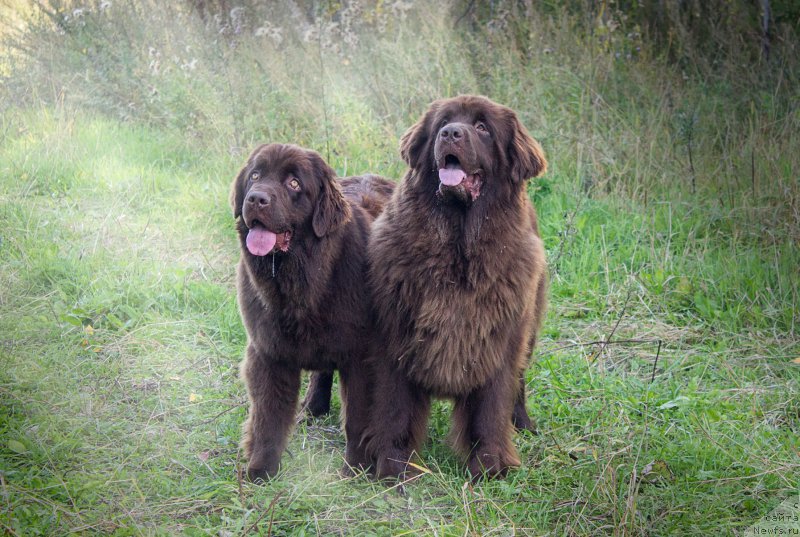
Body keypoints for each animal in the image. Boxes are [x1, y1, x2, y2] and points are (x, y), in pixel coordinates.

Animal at [230, 142, 396, 478]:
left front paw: (356, 470)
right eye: (255, 175)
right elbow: (268, 416)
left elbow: (357, 416)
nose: (256, 198)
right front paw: (261, 471)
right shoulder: (268, 351)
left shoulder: (361, 355)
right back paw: (313, 407)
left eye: (294, 184)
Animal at [364, 95, 548, 478]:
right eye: (444, 122)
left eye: (482, 127)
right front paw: (392, 466)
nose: (451, 133)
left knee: (519, 381)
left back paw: (523, 423)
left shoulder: (499, 340)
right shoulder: (393, 334)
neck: (458, 250)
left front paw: (489, 467)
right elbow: (393, 405)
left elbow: (491, 408)